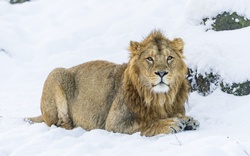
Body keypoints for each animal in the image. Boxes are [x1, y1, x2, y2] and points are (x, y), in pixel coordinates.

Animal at [28, 30, 199, 136]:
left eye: (169, 58)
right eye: (149, 59)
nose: (162, 73)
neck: (160, 98)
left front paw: (187, 120)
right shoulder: (115, 123)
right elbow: (146, 123)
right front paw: (170, 123)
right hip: (56, 73)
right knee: (59, 123)